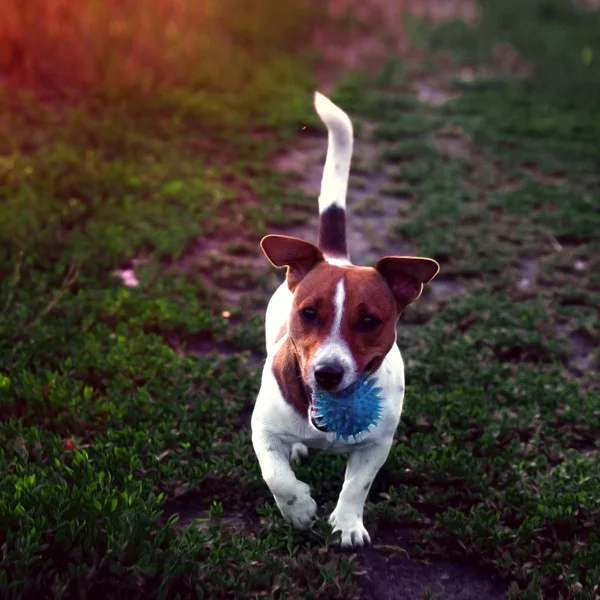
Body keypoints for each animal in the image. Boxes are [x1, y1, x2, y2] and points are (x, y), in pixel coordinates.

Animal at [251, 90, 438, 548]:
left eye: (369, 321)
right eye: (309, 313)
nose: (328, 373)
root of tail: (336, 256)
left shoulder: (377, 444)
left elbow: (357, 485)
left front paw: (349, 524)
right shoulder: (261, 429)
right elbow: (275, 475)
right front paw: (299, 509)